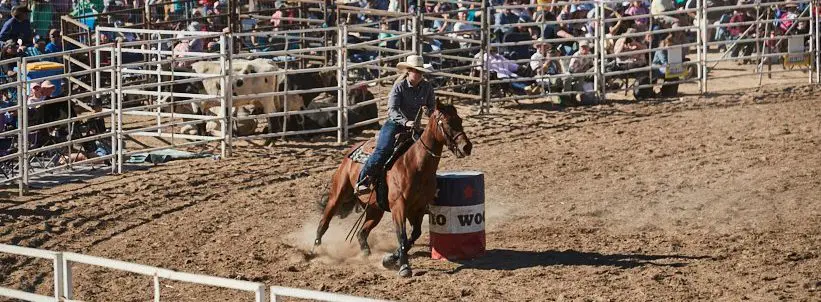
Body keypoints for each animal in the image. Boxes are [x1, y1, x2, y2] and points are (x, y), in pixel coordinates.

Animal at [312, 103, 470, 276]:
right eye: (447, 122)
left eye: (460, 120)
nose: (466, 147)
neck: (415, 163)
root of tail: (352, 150)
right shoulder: (398, 206)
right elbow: (402, 235)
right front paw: (404, 266)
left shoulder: (418, 208)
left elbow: (413, 235)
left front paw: (389, 259)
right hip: (338, 194)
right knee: (324, 222)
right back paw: (314, 252)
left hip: (375, 210)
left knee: (362, 232)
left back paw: (366, 253)